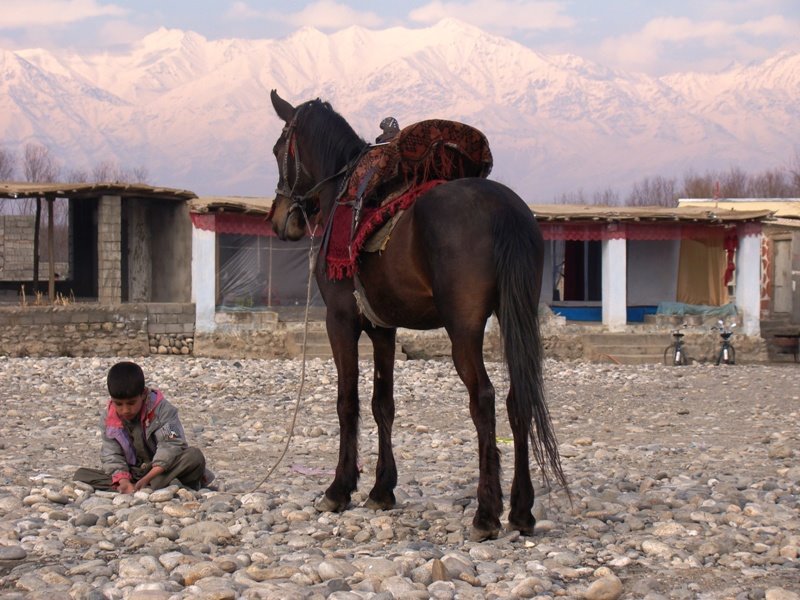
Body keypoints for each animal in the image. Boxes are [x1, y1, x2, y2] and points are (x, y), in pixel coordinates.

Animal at [270, 90, 568, 544]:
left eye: (277, 150)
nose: (277, 219)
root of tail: (504, 208)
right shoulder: (383, 328)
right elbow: (383, 403)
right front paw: (381, 489)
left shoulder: (341, 320)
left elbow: (347, 402)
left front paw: (339, 489)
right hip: (514, 317)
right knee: (519, 401)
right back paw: (520, 510)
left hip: (464, 330)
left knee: (484, 400)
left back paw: (486, 513)